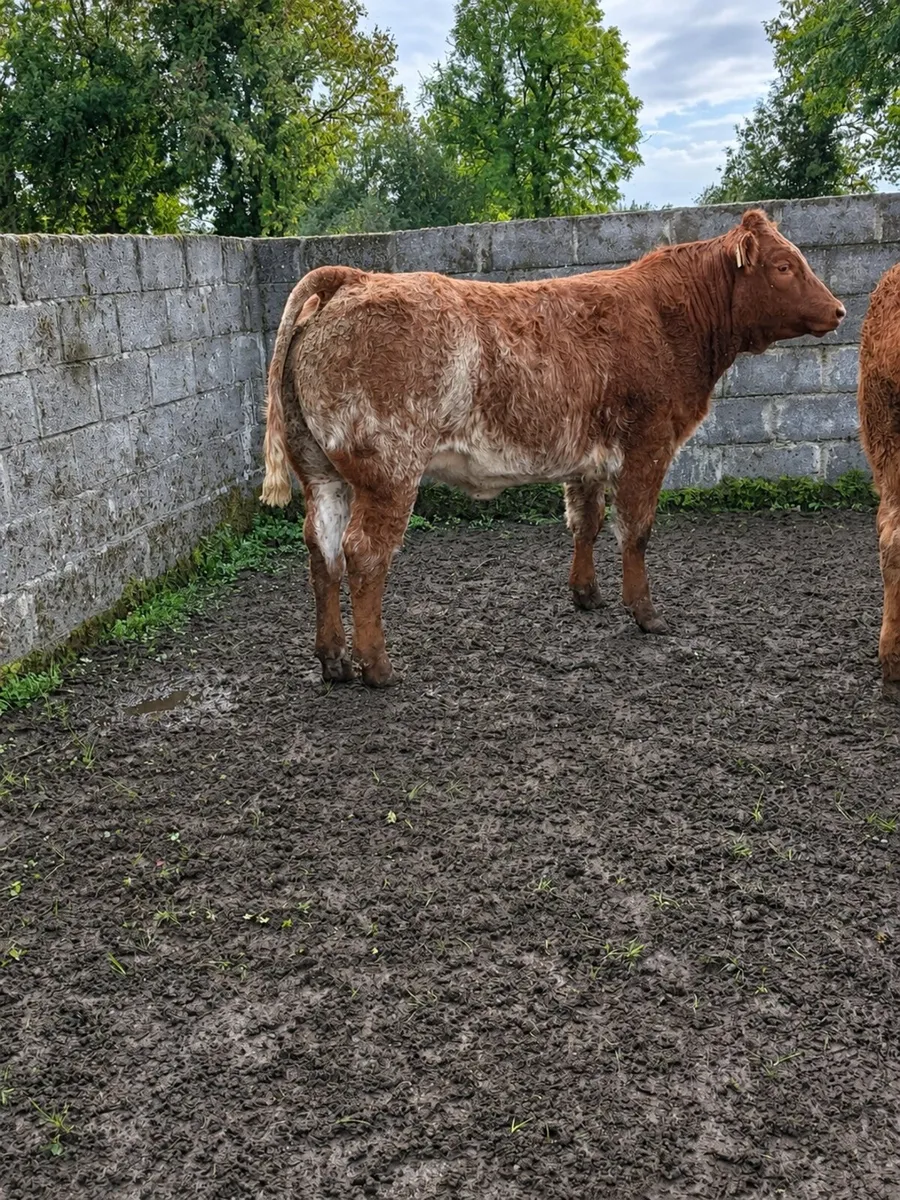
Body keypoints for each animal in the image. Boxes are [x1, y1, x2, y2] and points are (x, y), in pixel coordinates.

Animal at [260, 208, 845, 687]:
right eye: (783, 266)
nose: (839, 309)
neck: (670, 318)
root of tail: (353, 278)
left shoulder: (587, 460)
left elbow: (586, 522)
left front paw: (586, 595)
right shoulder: (650, 443)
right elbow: (636, 530)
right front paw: (646, 613)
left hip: (321, 472)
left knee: (322, 549)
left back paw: (333, 660)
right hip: (389, 471)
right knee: (363, 554)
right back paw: (376, 667)